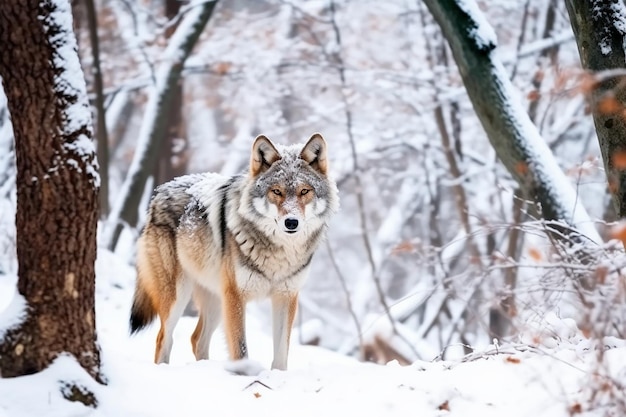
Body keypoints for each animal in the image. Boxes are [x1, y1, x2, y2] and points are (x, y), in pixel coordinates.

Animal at [129, 132, 338, 368]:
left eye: (304, 191)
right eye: (276, 191)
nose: (291, 222)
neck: (279, 253)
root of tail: (159, 192)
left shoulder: (286, 297)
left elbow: (281, 354)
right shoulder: (236, 296)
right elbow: (240, 349)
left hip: (216, 300)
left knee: (196, 339)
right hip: (179, 296)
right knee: (163, 338)